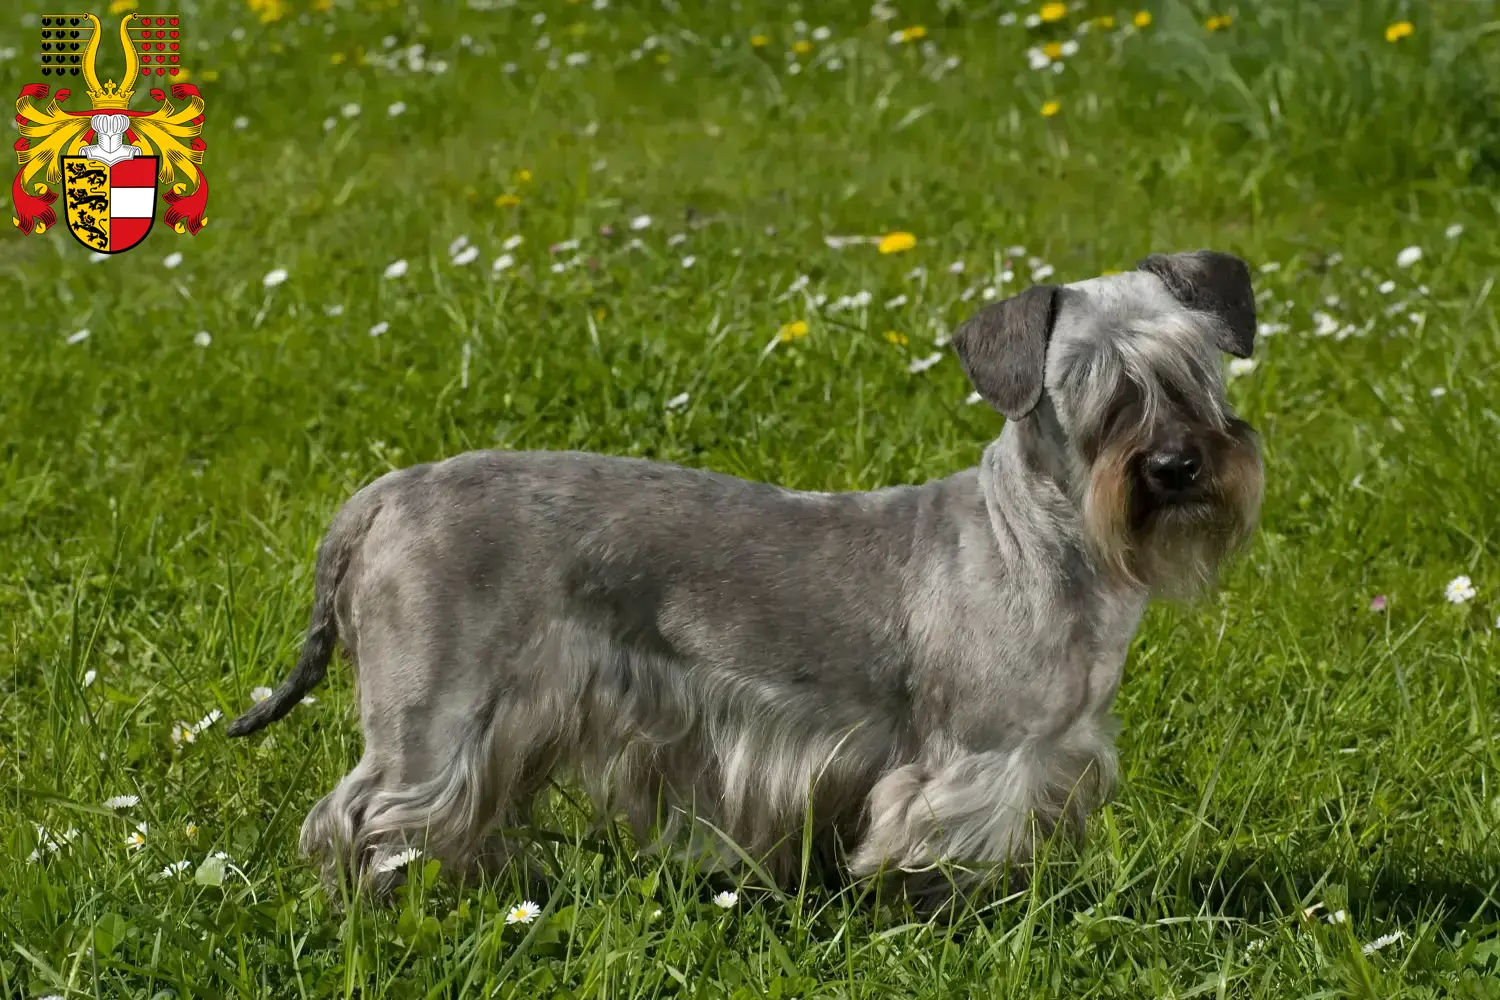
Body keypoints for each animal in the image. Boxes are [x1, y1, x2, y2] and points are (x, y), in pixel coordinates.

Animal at [228, 248, 1266, 905]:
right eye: (1090, 389)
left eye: (1197, 369)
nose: (1177, 466)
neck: (1039, 543)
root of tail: (381, 496)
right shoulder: (973, 762)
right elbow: (942, 858)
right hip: (431, 718)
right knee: (361, 814)